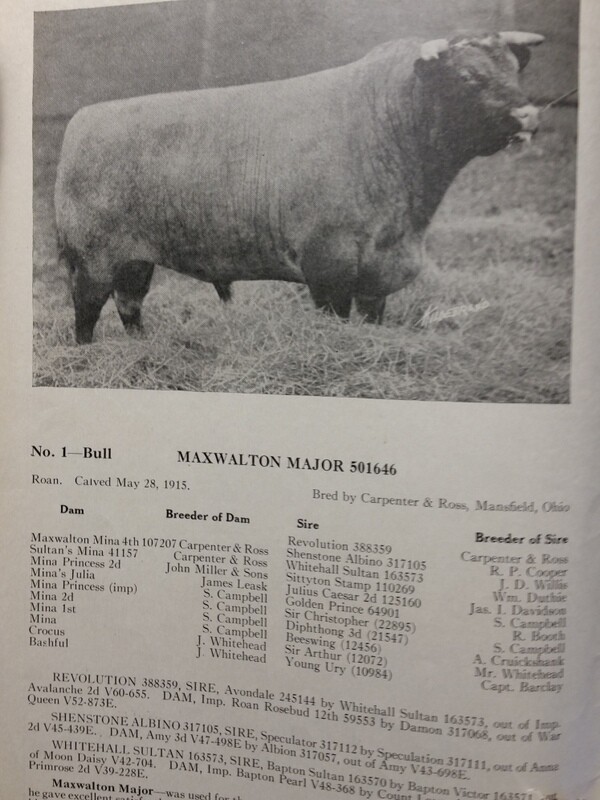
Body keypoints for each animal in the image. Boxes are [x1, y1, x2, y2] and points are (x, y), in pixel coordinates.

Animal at [54, 31, 544, 344]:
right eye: (467, 77)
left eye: (513, 72)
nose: (528, 115)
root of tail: (83, 119)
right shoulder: (328, 264)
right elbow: (334, 318)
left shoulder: (377, 275)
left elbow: (371, 319)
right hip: (93, 257)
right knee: (86, 310)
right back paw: (89, 355)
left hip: (136, 259)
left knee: (129, 304)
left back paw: (141, 348)